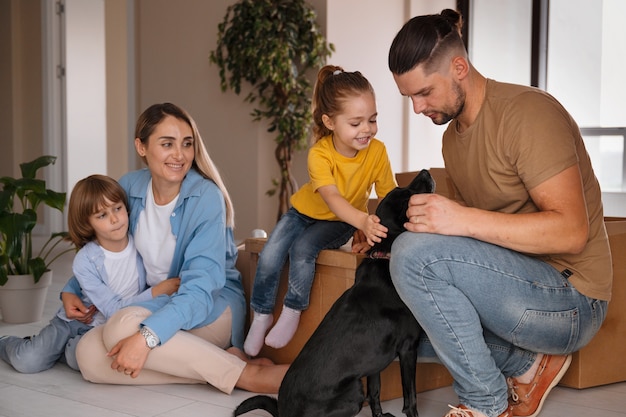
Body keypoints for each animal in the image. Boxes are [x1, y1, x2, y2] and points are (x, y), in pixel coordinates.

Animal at [234, 170, 434, 416]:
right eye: (407, 197)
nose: (425, 170)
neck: (385, 256)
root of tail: (284, 412)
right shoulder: (408, 348)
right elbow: (411, 398)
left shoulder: (374, 362)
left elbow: (375, 391)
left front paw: (379, 414)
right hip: (354, 392)